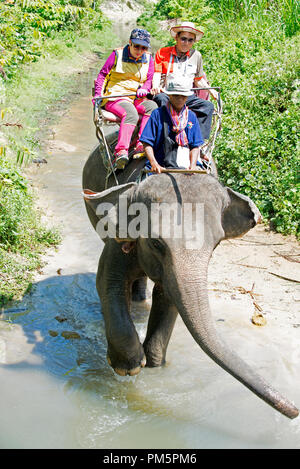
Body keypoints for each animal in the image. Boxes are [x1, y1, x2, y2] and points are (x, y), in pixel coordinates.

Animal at [81, 130, 298, 418]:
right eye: (156, 243)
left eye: (215, 245)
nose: (294, 411)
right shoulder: (120, 239)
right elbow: (107, 281)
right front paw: (129, 367)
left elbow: (169, 296)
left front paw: (156, 364)